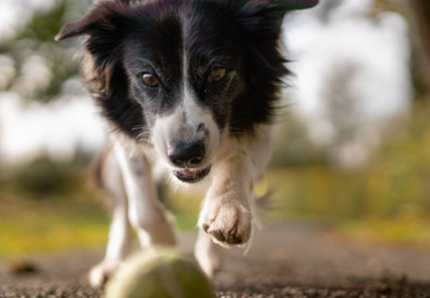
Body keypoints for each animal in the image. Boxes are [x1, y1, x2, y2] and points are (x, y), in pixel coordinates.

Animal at [56, 0, 320, 288]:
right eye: (148, 78)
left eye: (217, 73)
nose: (185, 155)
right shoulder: (123, 131)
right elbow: (141, 206)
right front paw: (164, 242)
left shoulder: (259, 118)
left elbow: (237, 160)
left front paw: (227, 209)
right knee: (122, 209)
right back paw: (111, 266)